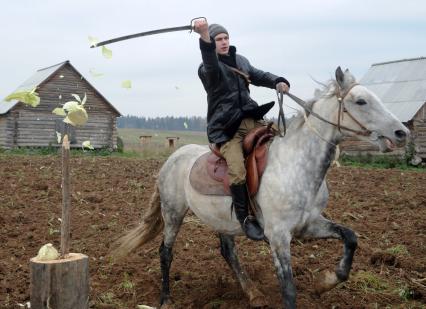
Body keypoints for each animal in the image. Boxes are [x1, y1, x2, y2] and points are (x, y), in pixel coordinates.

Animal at [112, 68, 410, 308]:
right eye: (361, 101)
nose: (402, 133)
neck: (295, 165)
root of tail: (173, 158)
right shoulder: (278, 237)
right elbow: (288, 289)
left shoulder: (310, 225)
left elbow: (350, 237)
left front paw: (324, 283)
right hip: (173, 213)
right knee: (166, 252)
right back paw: (165, 298)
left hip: (221, 220)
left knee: (228, 252)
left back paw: (253, 294)